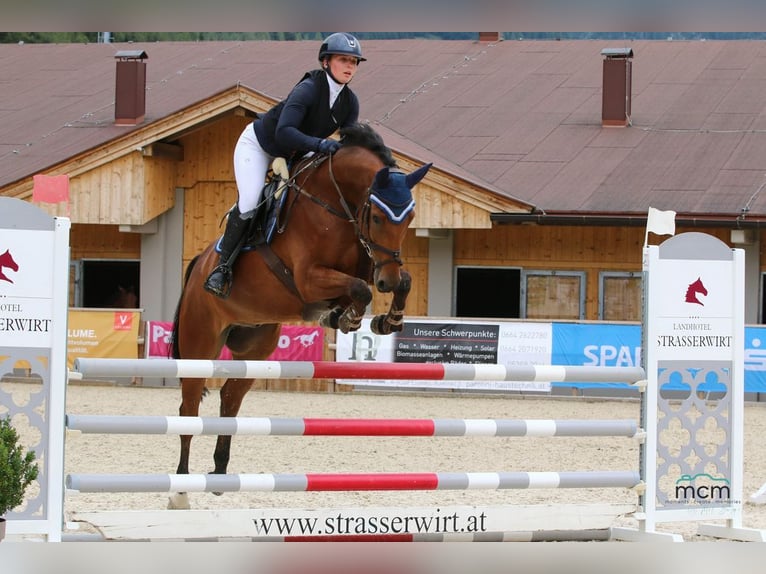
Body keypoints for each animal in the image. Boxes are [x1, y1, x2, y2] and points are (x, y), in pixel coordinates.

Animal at [169, 122, 432, 508]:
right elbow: (360, 289)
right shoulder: (309, 279)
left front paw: (384, 319)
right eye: (378, 217)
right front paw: (348, 318)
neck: (334, 204)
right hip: (199, 344)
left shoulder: (366, 266)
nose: (388, 279)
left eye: (409, 217)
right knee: (188, 409)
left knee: (230, 398)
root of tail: (197, 268)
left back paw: (219, 474)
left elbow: (391, 282)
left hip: (256, 345)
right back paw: (181, 490)